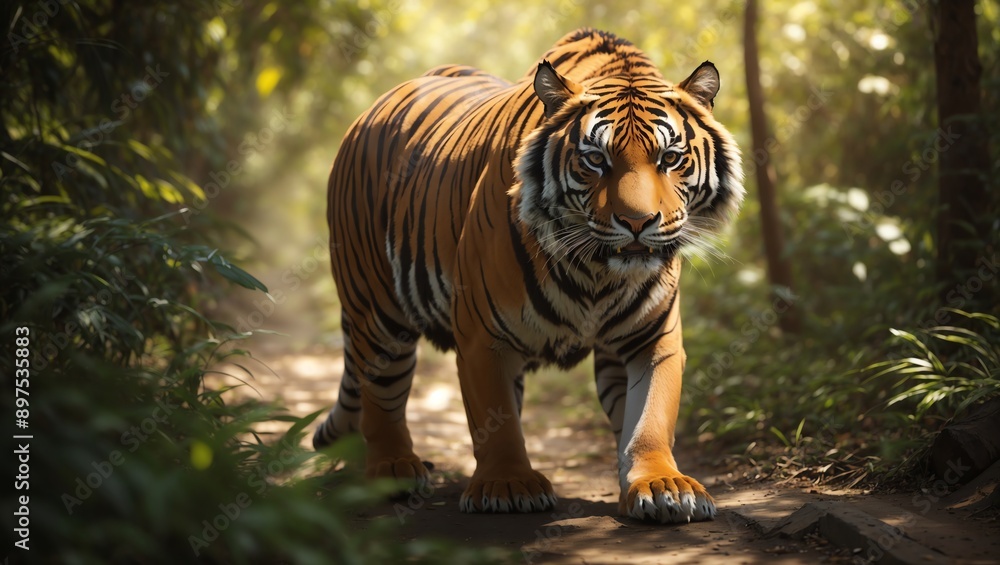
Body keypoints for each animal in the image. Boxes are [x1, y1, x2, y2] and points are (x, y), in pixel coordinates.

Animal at [312, 28, 744, 523]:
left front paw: (662, 485)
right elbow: (491, 413)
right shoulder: (482, 336)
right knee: (381, 394)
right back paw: (393, 469)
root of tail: (374, 107)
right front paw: (508, 483)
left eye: (670, 158)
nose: (637, 222)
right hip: (376, 310)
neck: (597, 273)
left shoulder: (652, 338)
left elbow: (649, 417)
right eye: (595, 159)